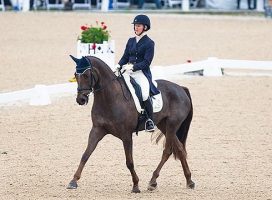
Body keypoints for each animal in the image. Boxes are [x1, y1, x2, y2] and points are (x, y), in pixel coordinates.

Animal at [68, 54, 196, 192]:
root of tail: (181, 88)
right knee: (180, 149)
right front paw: (73, 181)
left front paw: (135, 185)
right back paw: (189, 181)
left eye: (86, 75)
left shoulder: (126, 135)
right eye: (75, 75)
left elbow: (129, 162)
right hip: (164, 125)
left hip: (172, 125)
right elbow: (85, 155)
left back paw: (153, 181)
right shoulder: (97, 130)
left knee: (167, 151)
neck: (110, 98)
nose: (81, 99)